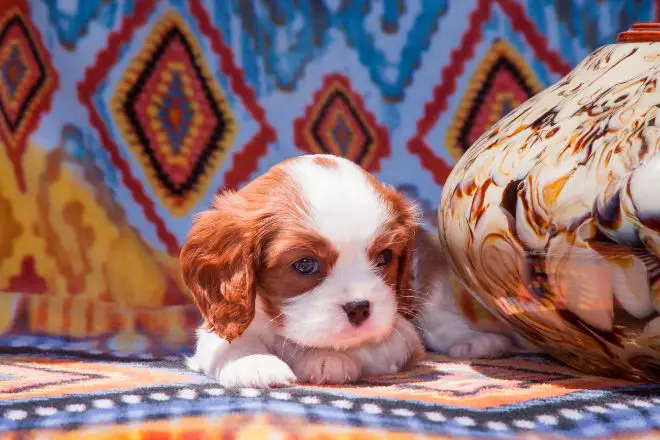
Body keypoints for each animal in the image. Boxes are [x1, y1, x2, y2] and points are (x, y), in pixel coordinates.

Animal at [179, 155, 510, 388]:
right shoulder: (218, 321)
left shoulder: (399, 338)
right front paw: (254, 361)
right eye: (305, 264)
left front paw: (323, 357)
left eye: (384, 257)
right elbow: (228, 341)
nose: (359, 308)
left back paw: (473, 341)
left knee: (441, 319)